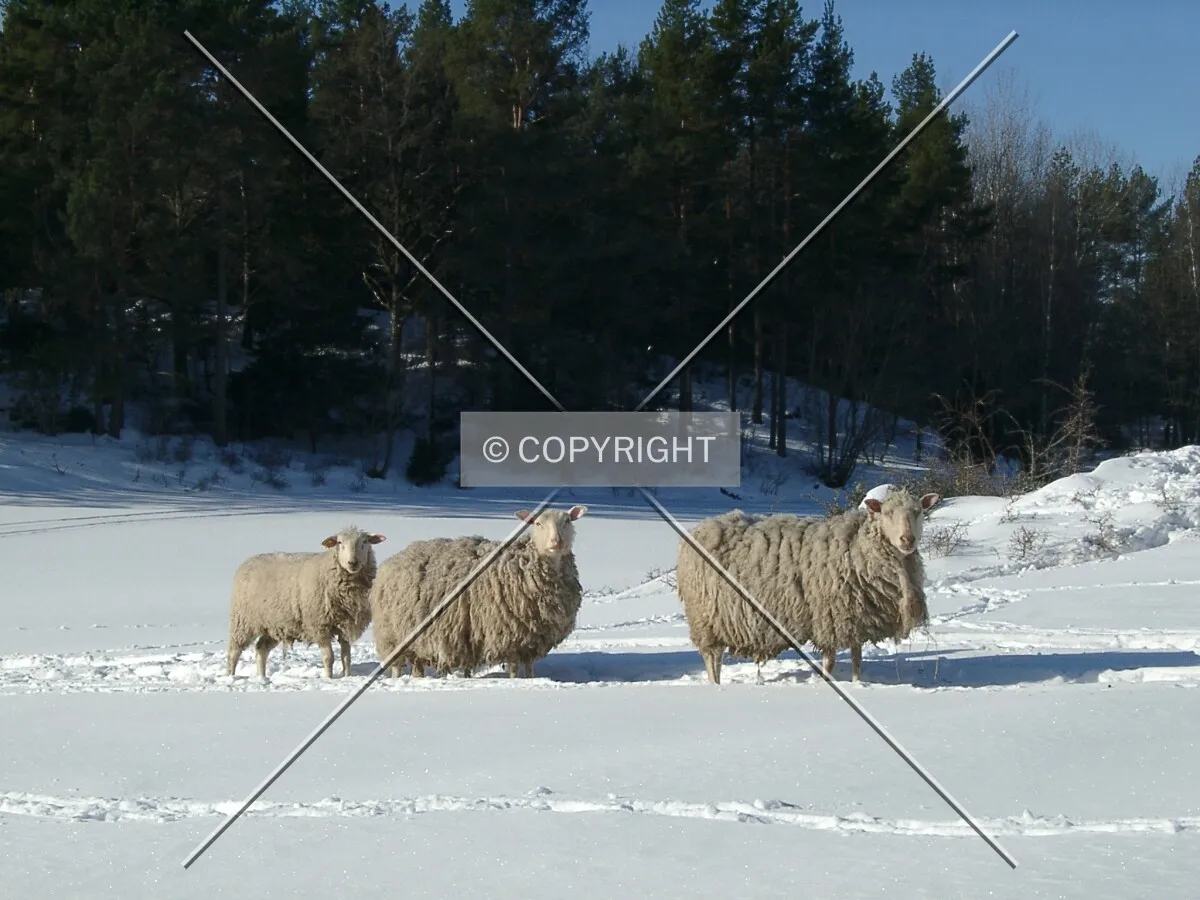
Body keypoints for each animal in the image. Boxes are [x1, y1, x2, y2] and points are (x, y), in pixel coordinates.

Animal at [225, 525, 386, 680]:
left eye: (365, 542)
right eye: (340, 543)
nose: (353, 562)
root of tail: (248, 561)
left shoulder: (345, 625)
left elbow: (346, 658)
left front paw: (347, 676)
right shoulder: (319, 626)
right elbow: (329, 657)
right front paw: (329, 678)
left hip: (274, 625)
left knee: (261, 649)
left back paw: (262, 677)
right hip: (243, 621)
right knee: (234, 652)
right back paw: (230, 676)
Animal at [370, 505, 587, 680]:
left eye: (567, 520)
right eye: (538, 523)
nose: (556, 542)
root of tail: (393, 560)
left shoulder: (531, 639)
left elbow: (529, 667)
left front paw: (531, 681)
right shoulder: (510, 634)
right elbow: (514, 668)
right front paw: (516, 683)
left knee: (417, 665)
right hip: (391, 635)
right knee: (397, 666)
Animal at [676, 488, 939, 685]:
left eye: (918, 512)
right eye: (887, 513)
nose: (907, 540)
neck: (858, 548)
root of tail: (701, 528)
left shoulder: (855, 618)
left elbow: (857, 658)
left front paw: (857, 684)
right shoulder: (829, 616)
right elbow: (830, 661)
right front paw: (828, 682)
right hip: (705, 616)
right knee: (712, 657)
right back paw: (715, 686)